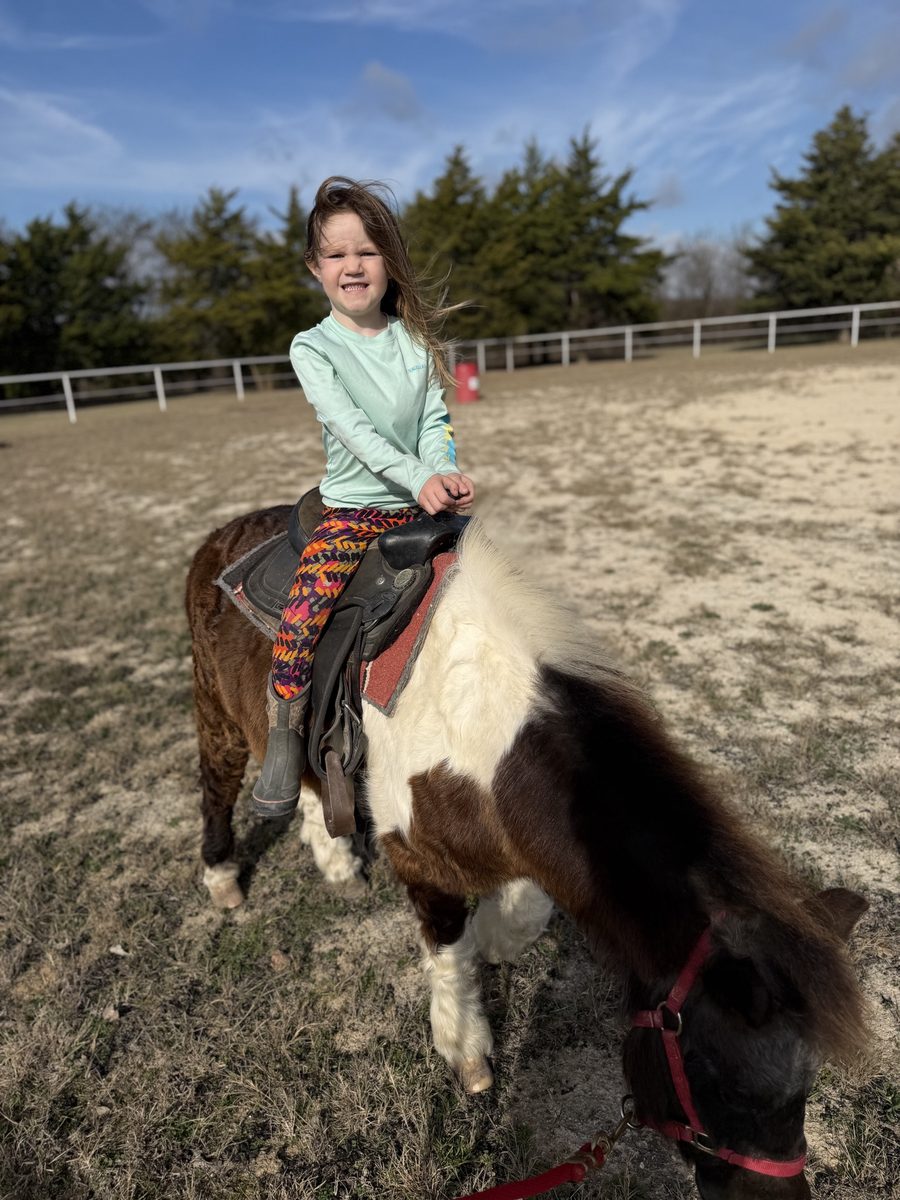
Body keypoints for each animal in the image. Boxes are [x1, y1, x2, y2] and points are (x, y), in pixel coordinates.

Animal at [186, 505, 868, 1200]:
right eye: (713, 1077)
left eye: (806, 1086)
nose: (778, 1197)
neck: (482, 734)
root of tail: (228, 531)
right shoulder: (418, 857)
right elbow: (448, 947)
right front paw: (465, 1045)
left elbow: (525, 908)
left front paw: (494, 937)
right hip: (216, 715)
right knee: (217, 787)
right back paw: (223, 877)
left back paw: (337, 863)